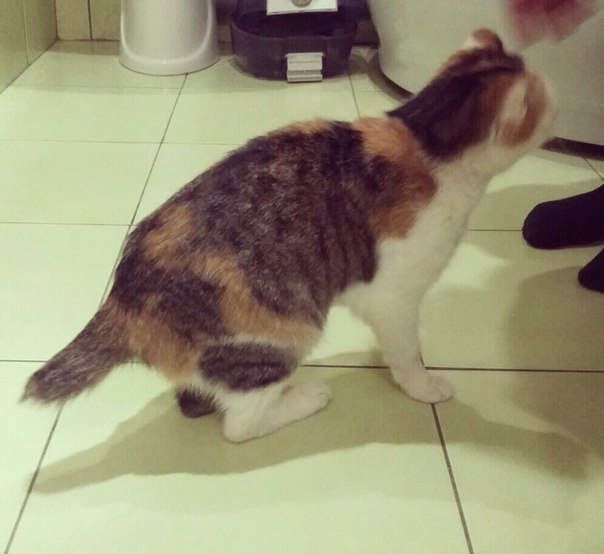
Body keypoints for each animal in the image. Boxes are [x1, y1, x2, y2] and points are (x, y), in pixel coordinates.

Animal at [22, 29, 556, 442]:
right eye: (545, 99)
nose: (559, 103)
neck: (425, 136)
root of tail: (124, 296)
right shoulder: (393, 295)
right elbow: (406, 350)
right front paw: (422, 385)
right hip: (285, 332)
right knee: (239, 425)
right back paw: (304, 398)